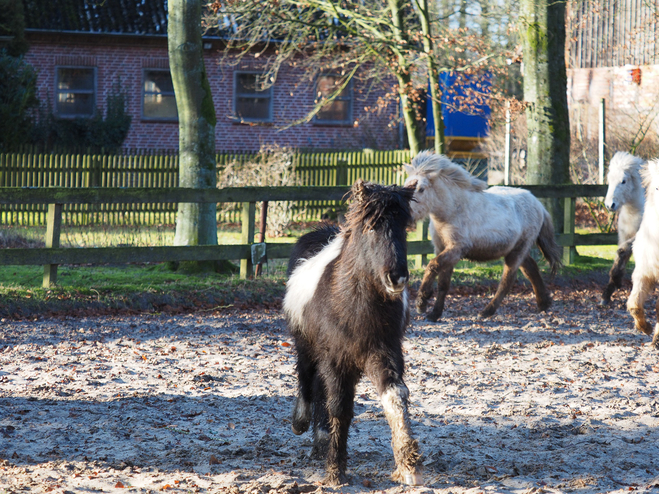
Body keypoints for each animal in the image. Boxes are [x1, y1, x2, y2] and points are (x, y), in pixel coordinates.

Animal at [282, 178, 418, 486]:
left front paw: (407, 465)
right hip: (306, 343)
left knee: (318, 386)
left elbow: (395, 398)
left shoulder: (385, 354)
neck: (356, 307)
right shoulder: (335, 359)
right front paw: (335, 470)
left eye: (404, 226)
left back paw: (320, 439)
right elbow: (339, 408)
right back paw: (302, 423)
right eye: (371, 226)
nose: (397, 277)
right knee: (307, 379)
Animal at [402, 151, 564, 320]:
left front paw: (422, 302)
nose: (405, 216)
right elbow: (443, 284)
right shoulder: (442, 249)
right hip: (517, 250)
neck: (452, 211)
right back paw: (543, 304)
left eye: (421, 189)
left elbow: (432, 266)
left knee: (507, 281)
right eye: (405, 186)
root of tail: (539, 205)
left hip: (518, 251)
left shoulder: (456, 250)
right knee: (531, 270)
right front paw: (434, 313)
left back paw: (486, 311)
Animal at [600, 151, 648, 304]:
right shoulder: (624, 235)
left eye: (623, 181)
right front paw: (607, 293)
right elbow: (621, 257)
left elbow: (622, 251)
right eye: (609, 180)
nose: (610, 205)